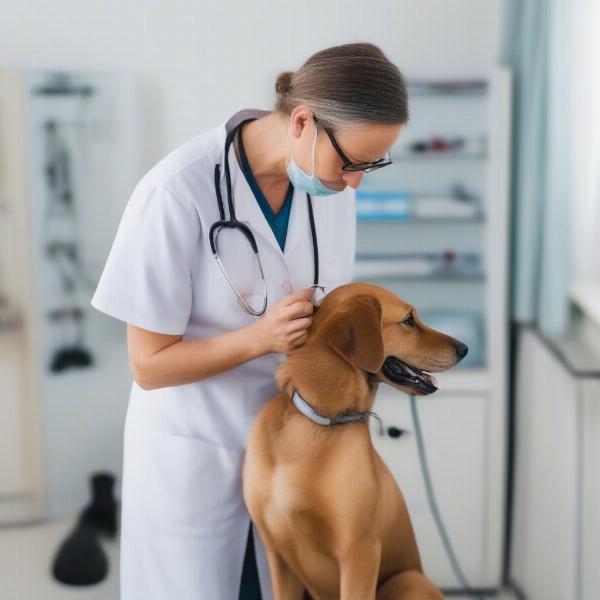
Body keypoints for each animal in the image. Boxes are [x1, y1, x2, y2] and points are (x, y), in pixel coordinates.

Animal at [241, 282, 466, 600]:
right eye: (409, 320)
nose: (465, 349)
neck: (317, 422)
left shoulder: (360, 551)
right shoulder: (278, 556)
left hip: (406, 581)